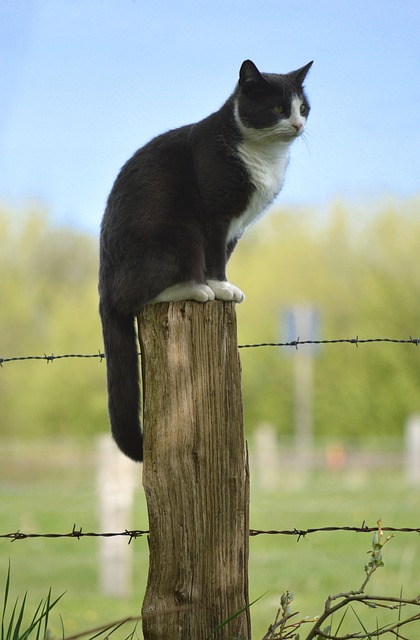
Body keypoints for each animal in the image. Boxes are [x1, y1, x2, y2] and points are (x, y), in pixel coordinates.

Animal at [98, 58, 312, 460]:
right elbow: (213, 258)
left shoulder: (236, 229)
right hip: (177, 235)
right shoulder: (216, 216)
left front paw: (227, 285)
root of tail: (103, 285)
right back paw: (196, 289)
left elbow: (224, 256)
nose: (297, 124)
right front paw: (220, 288)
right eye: (279, 108)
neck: (265, 157)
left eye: (303, 108)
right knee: (138, 295)